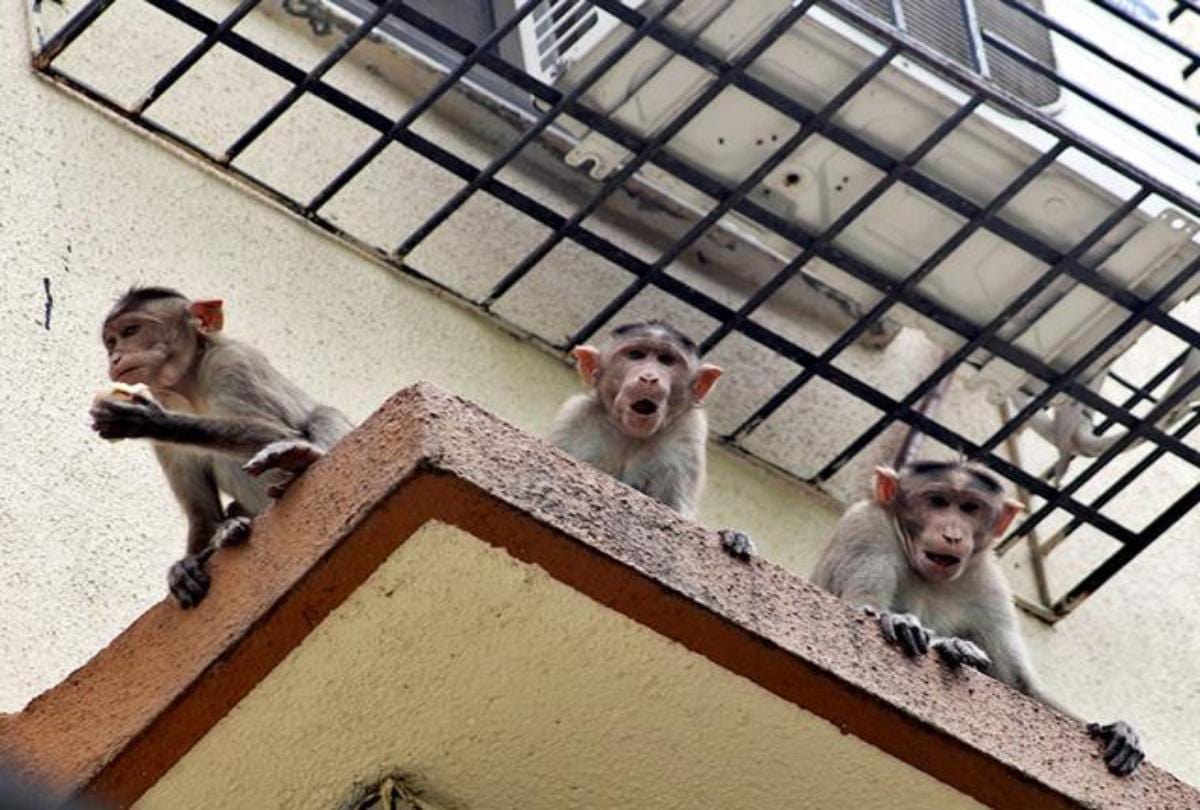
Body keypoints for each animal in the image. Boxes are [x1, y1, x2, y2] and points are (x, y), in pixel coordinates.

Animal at [90, 287, 353, 609]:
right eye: (111, 342)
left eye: (131, 331)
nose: (115, 357)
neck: (190, 387)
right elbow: (201, 512)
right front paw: (186, 565)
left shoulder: (232, 362)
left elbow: (280, 432)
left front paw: (151, 420)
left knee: (323, 415)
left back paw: (301, 457)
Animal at [548, 320, 753, 558]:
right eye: (636, 355)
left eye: (666, 360)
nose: (649, 377)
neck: (631, 434)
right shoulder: (576, 416)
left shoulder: (688, 432)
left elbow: (674, 508)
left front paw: (734, 535)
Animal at [812, 460, 1145, 776]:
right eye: (937, 501)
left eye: (970, 508)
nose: (953, 535)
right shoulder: (865, 527)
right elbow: (862, 606)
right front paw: (925, 633)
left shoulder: (987, 579)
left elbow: (1019, 685)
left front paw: (1115, 729)